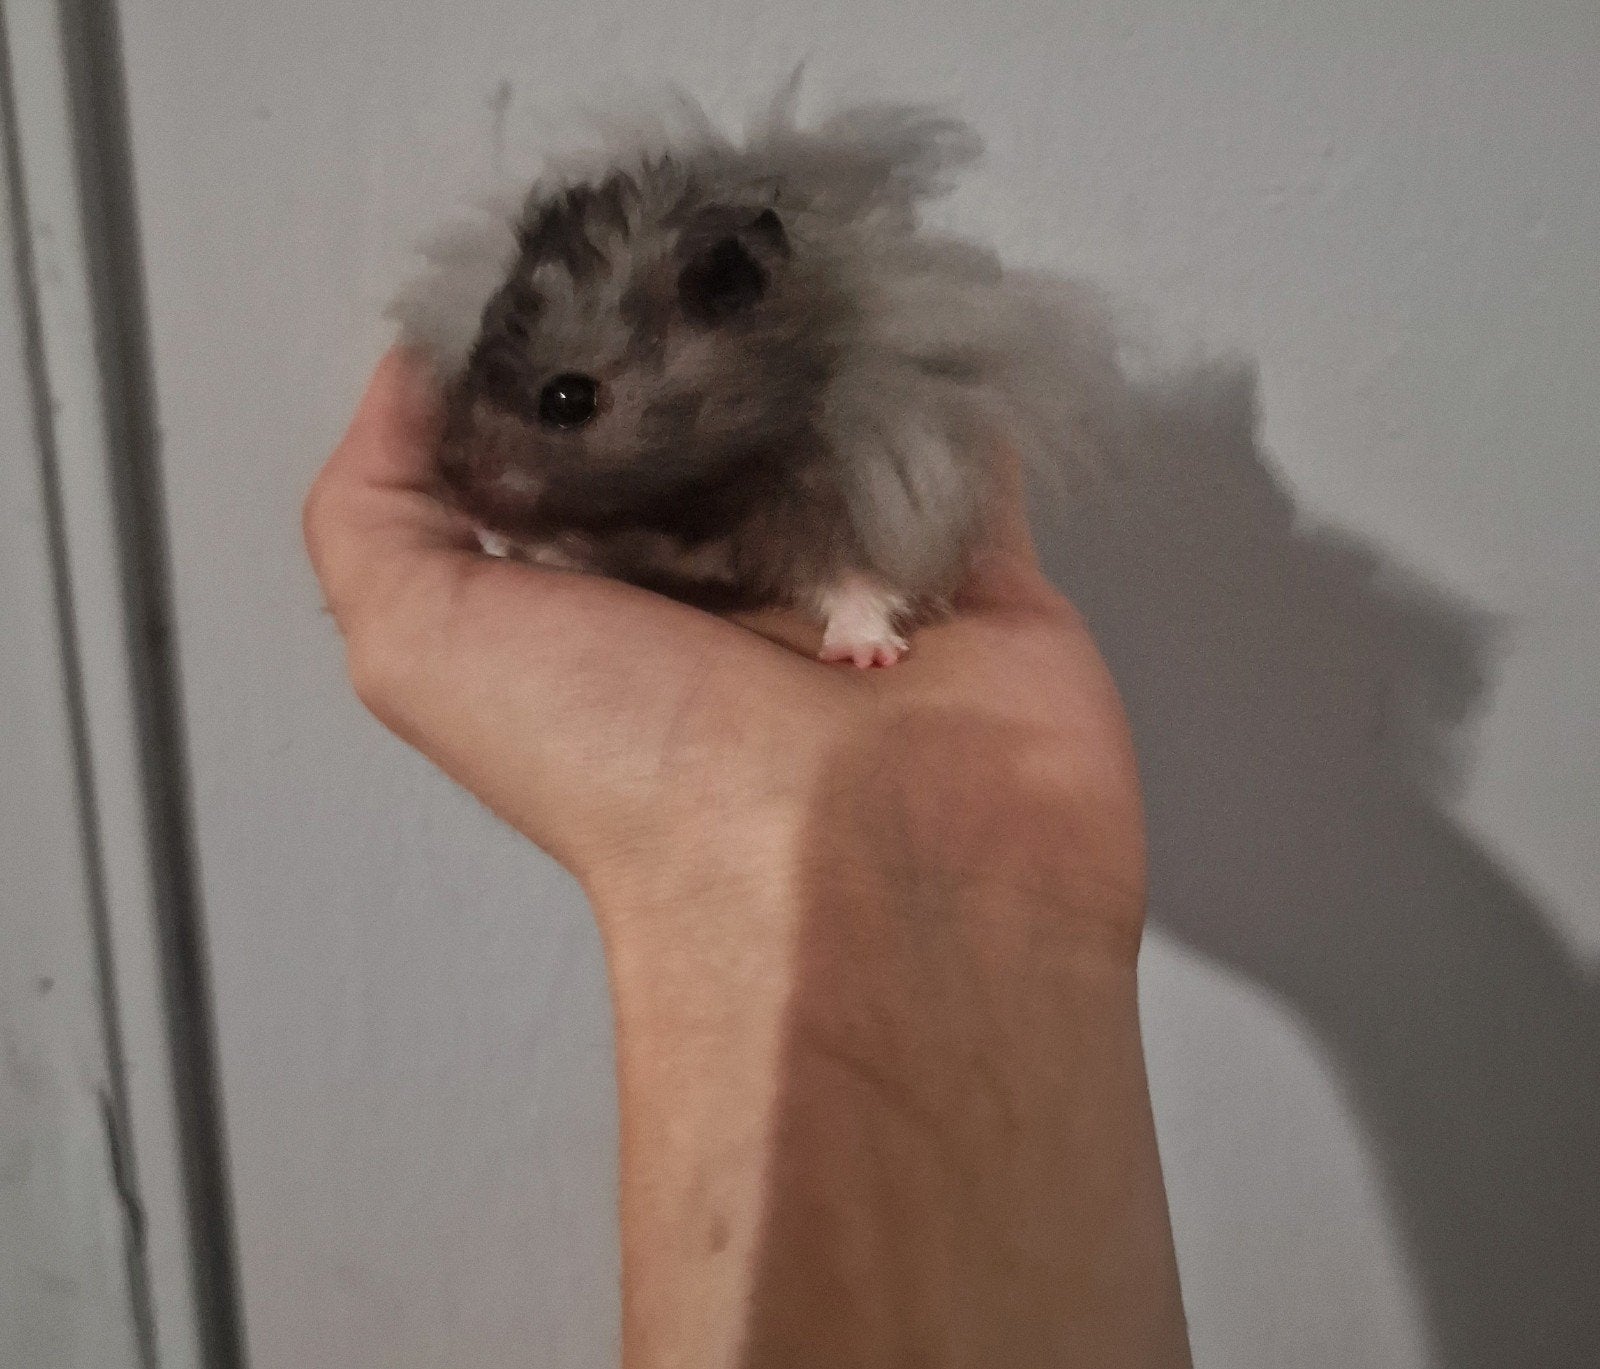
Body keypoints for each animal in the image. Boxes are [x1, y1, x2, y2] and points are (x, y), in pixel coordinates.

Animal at [390, 82, 1127, 666]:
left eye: (568, 399)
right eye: (475, 345)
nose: (454, 494)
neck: (707, 485)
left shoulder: (862, 489)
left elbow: (859, 581)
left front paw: (866, 655)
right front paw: (506, 544)